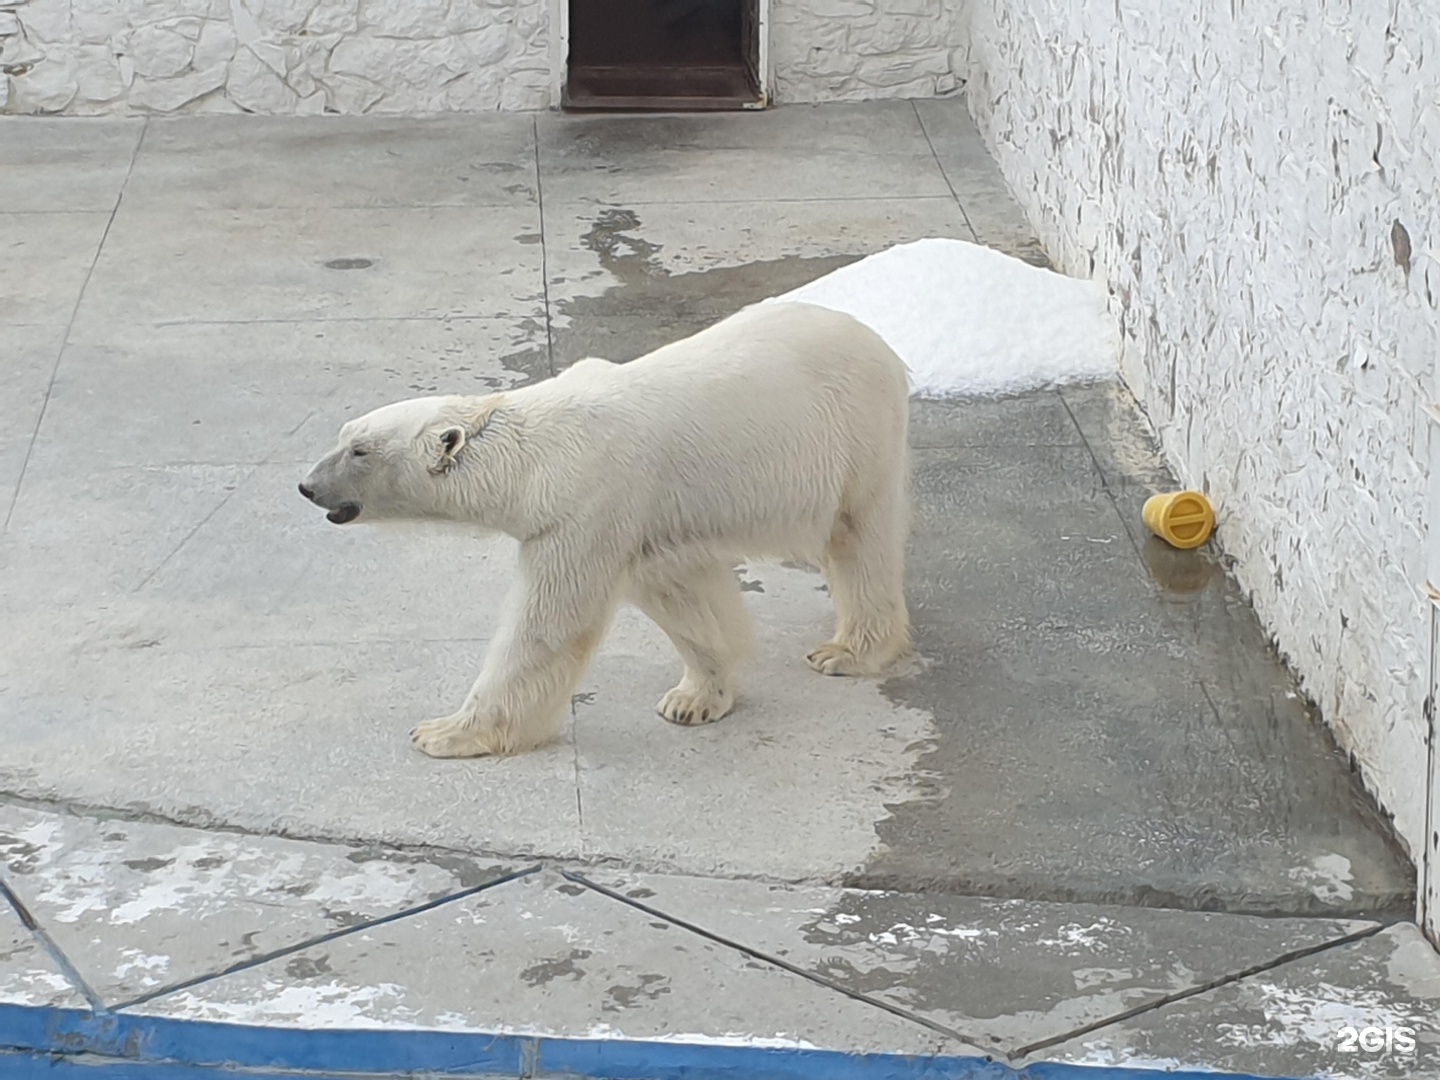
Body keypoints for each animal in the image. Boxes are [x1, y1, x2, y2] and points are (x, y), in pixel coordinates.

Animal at [299, 302, 910, 760]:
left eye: (360, 450)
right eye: (344, 435)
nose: (307, 486)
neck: (537, 458)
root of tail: (881, 344)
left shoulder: (584, 508)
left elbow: (548, 625)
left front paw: (444, 732)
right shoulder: (646, 519)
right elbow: (685, 595)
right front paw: (694, 698)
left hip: (853, 436)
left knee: (859, 537)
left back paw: (847, 651)